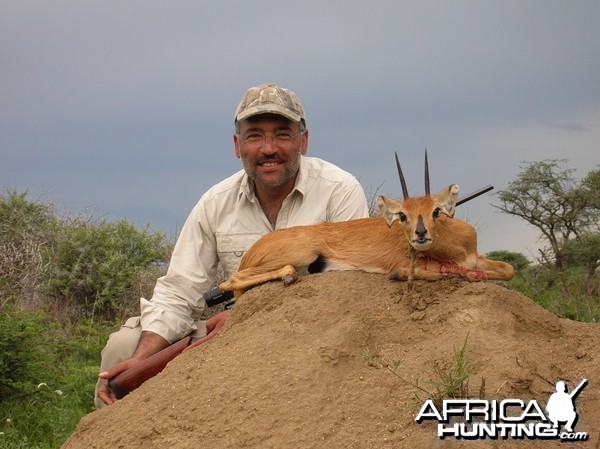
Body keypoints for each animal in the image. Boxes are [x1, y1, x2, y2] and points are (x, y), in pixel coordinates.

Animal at [213, 154, 512, 298]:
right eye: (402, 215)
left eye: (435, 211)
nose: (420, 235)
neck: (457, 247)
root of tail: (255, 248)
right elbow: (435, 273)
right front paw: (401, 275)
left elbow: (507, 270)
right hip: (302, 254)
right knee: (233, 280)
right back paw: (289, 276)